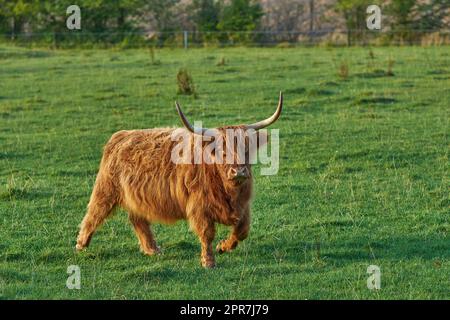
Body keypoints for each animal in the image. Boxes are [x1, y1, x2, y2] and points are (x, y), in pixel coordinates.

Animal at [76, 92, 282, 268]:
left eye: (247, 149)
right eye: (222, 151)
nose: (238, 171)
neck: (228, 190)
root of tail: (121, 135)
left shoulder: (243, 206)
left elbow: (242, 231)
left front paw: (223, 247)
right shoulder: (199, 206)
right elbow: (207, 233)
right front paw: (208, 261)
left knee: (137, 219)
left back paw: (152, 249)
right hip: (106, 188)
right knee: (94, 213)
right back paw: (81, 243)